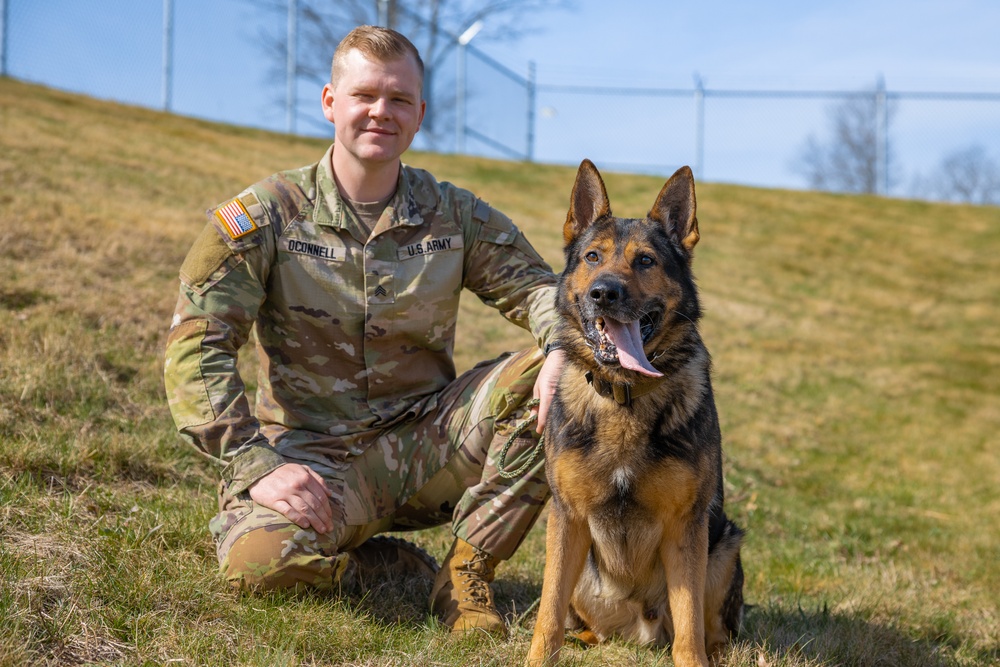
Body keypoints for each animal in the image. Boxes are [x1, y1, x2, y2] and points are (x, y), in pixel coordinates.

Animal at [524, 162, 744, 667]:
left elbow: (689, 627)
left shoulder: (686, 527)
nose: (604, 293)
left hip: (724, 547)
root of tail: (638, 633)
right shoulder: (567, 520)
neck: (624, 394)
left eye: (645, 261)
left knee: (712, 630)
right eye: (592, 257)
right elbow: (548, 614)